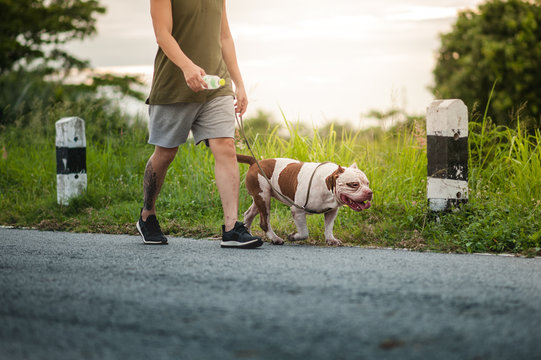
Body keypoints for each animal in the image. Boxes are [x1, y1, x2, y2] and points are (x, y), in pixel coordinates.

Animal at [236, 153, 372, 246]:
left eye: (368, 183)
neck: (327, 185)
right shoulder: (298, 211)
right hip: (263, 197)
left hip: (259, 198)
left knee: (249, 214)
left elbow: (329, 227)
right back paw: (275, 238)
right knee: (265, 222)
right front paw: (293, 237)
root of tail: (255, 162)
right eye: (354, 184)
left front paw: (330, 239)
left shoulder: (331, 212)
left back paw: (248, 234)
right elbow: (304, 232)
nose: (370, 192)